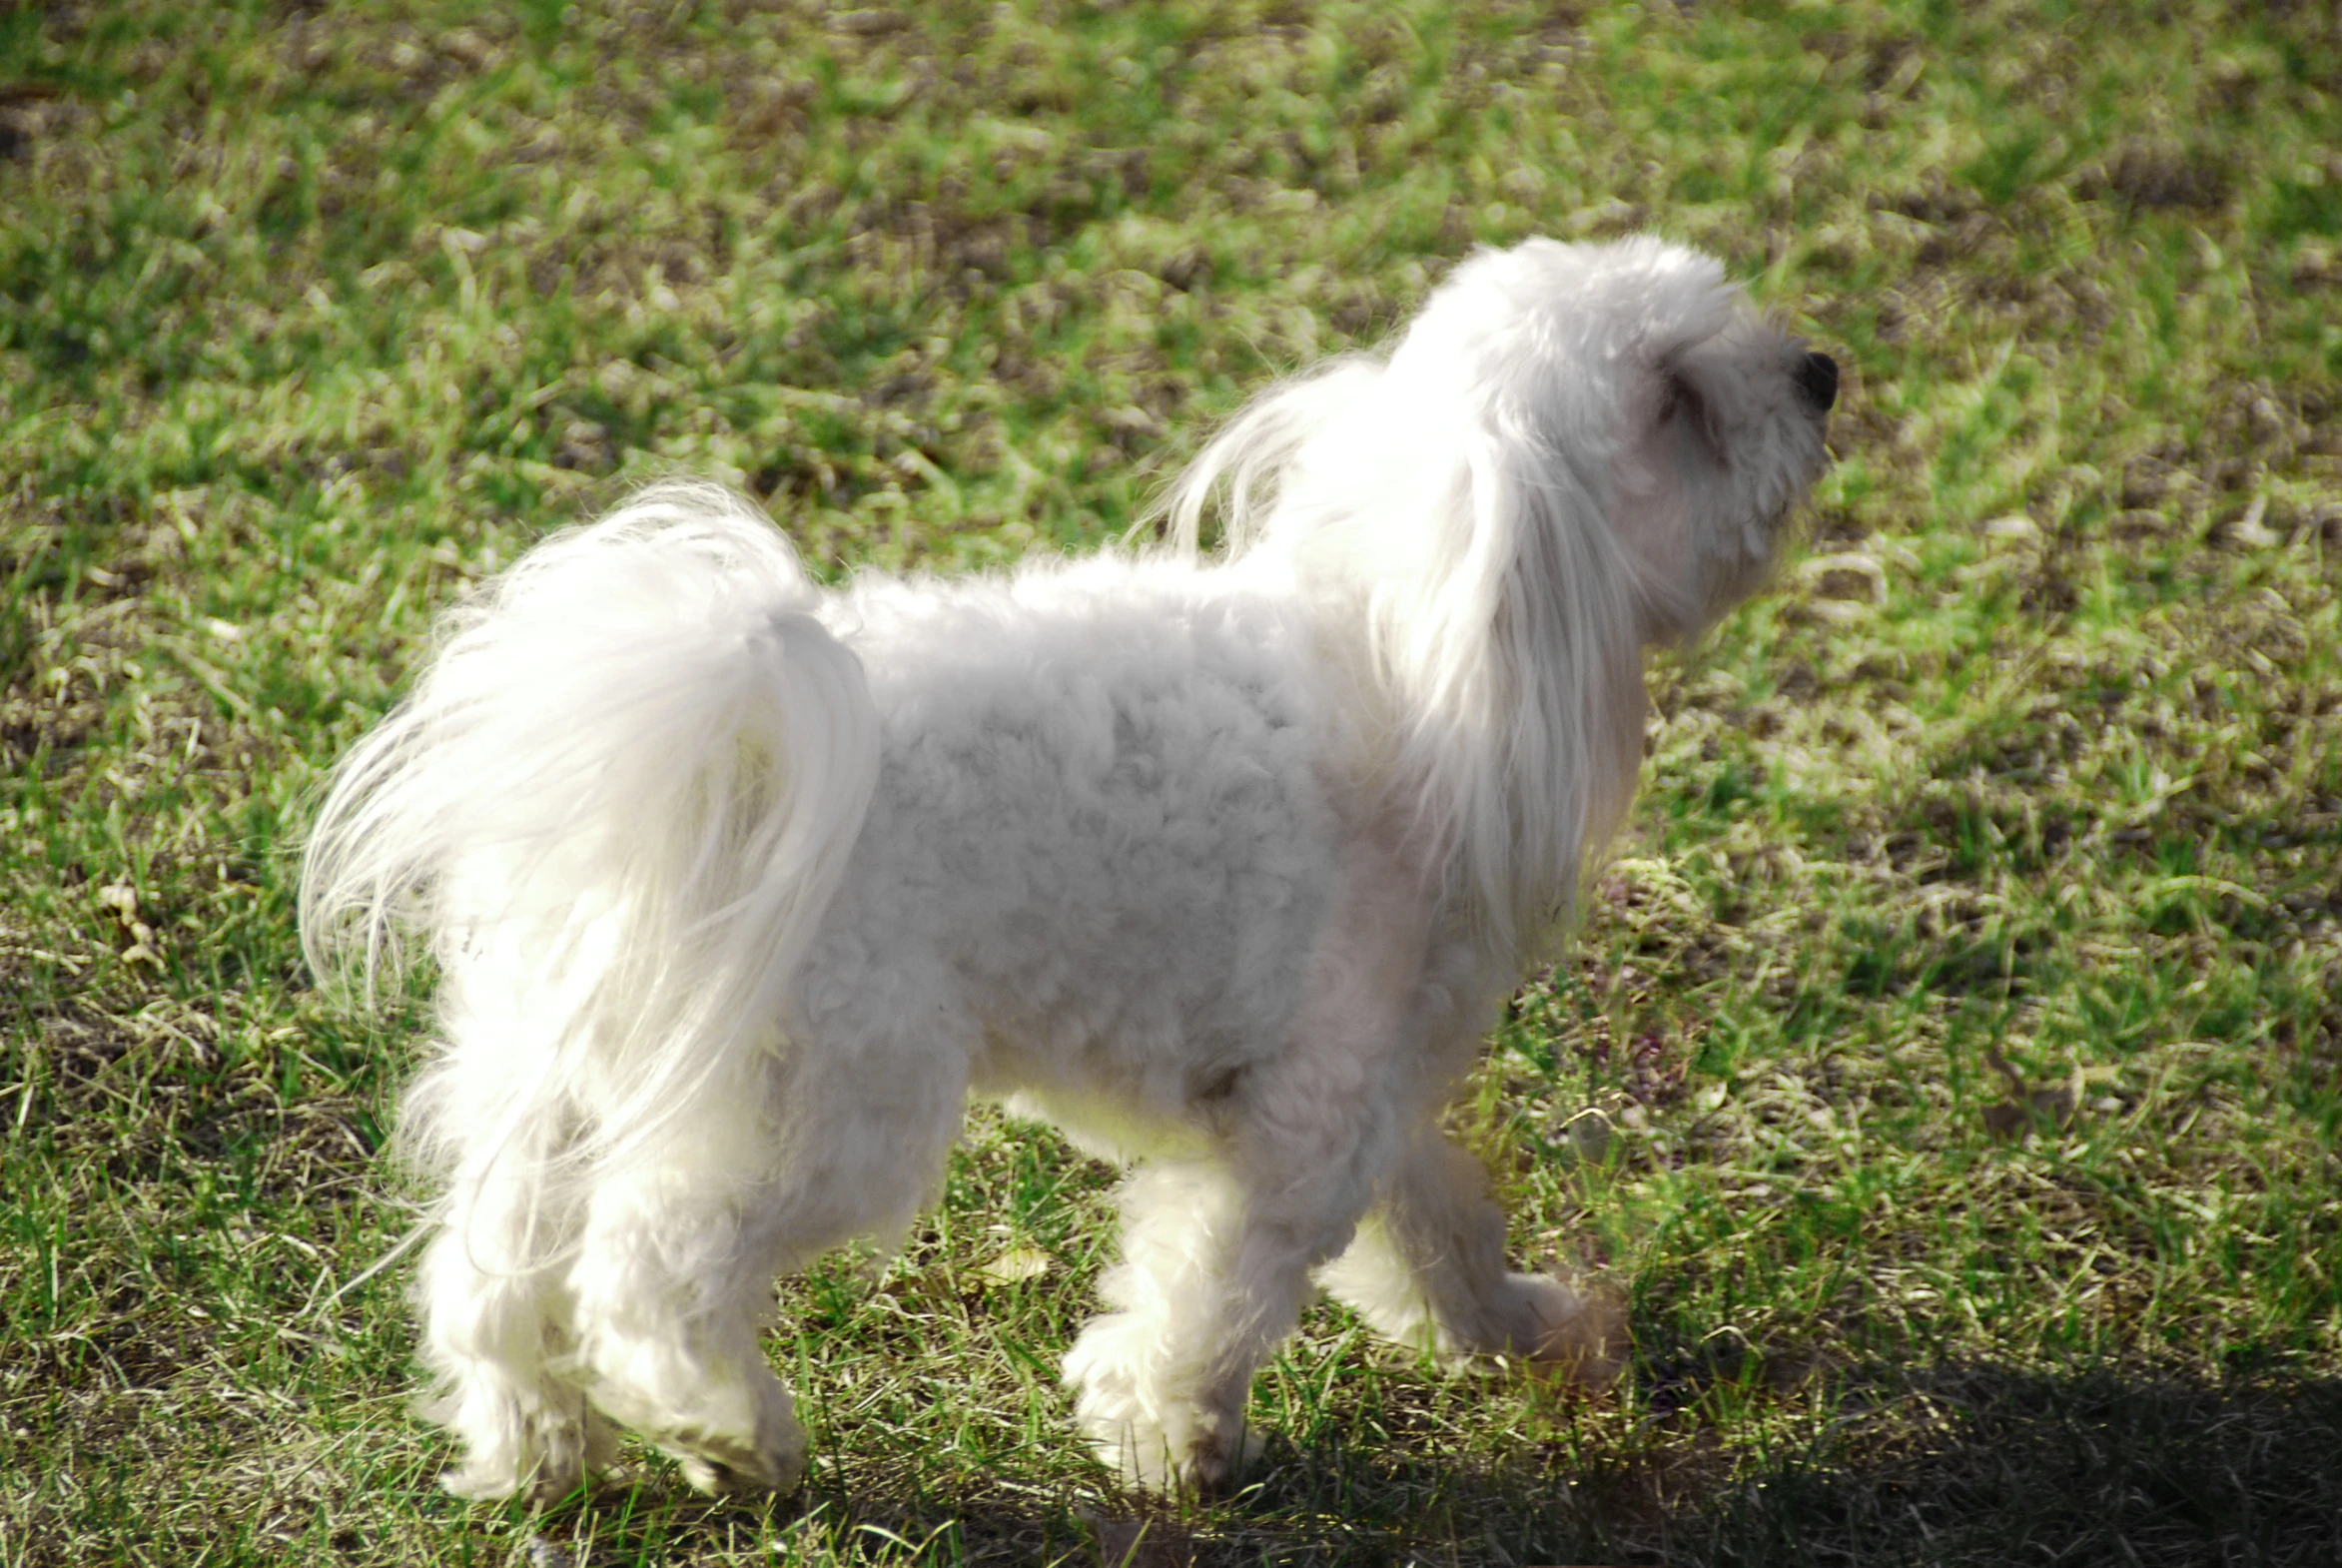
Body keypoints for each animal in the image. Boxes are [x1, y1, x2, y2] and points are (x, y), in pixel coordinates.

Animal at [297, 234, 1827, 1497]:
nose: (1820, 372)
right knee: (646, 1272)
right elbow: (1213, 1285)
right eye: (1677, 399)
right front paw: (1168, 1438)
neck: (1403, 656)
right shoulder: (1308, 1107)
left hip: (556, 1065)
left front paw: (1523, 1330)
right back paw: (729, 1430)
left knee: (488, 1270)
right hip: (829, 1099)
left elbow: (1438, 1224)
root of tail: (727, 748)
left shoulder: (1373, 1085)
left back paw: (539, 1447)